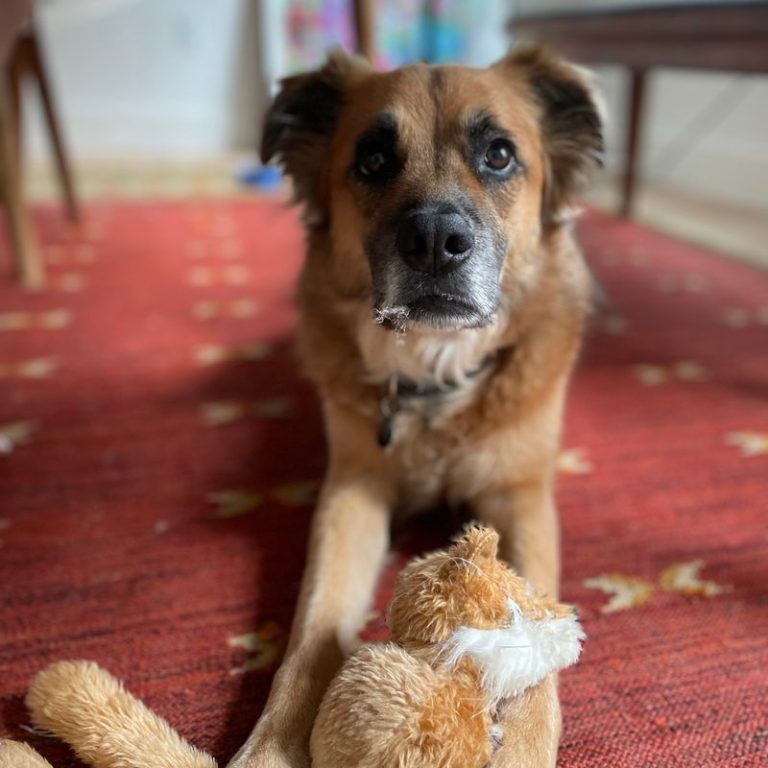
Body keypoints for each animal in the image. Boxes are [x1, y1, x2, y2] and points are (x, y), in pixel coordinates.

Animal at [228, 45, 603, 768]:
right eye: (373, 160)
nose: (433, 241)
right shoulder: (352, 490)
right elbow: (312, 626)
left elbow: (534, 637)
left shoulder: (521, 497)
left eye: (499, 155)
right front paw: (270, 746)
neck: (437, 372)